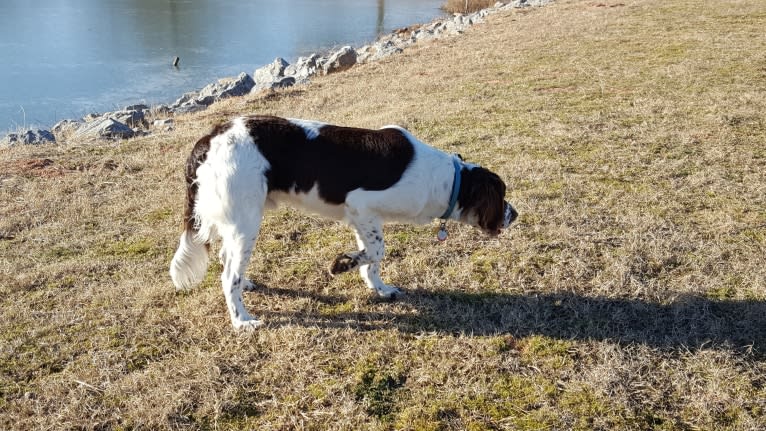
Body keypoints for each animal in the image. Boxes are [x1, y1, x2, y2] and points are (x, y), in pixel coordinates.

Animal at [170, 115, 520, 330]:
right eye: (502, 196)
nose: (514, 214)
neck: (444, 179)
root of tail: (209, 138)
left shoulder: (364, 218)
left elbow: (373, 259)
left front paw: (378, 287)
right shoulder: (361, 205)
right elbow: (376, 253)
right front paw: (342, 264)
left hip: (239, 221)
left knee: (227, 261)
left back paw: (247, 285)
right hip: (246, 220)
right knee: (227, 275)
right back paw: (242, 320)